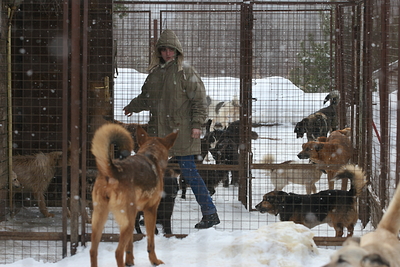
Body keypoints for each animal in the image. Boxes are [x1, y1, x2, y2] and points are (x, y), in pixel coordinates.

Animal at [90, 123, 178, 267]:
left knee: (93, 251)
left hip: (100, 218)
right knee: (118, 252)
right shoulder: (150, 211)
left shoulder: (135, 212)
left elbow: (130, 244)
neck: (151, 153)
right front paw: (154, 261)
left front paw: (130, 261)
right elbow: (151, 241)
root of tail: (112, 172)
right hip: (127, 221)